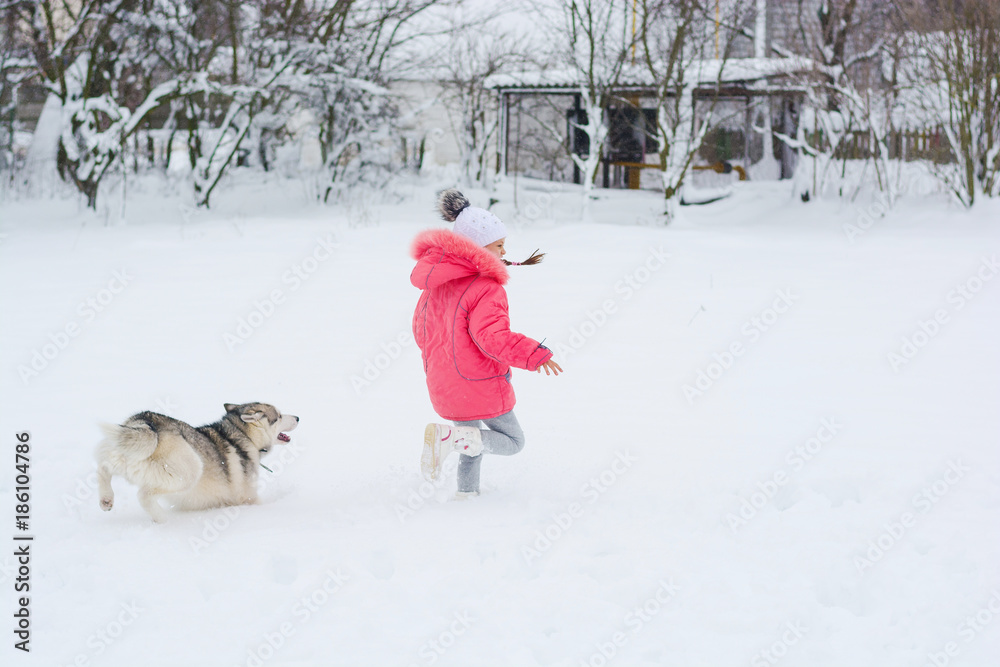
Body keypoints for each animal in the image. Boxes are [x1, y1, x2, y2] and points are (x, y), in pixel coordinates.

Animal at [97, 404, 300, 524]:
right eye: (279, 416)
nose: (298, 417)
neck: (241, 435)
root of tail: (148, 421)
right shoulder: (248, 498)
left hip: (125, 455)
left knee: (103, 466)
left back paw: (106, 499)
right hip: (190, 472)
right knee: (144, 494)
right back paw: (162, 519)